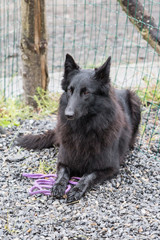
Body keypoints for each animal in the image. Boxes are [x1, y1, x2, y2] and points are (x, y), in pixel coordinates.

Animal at [17, 54, 141, 202]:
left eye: (86, 92)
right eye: (70, 90)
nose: (68, 114)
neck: (82, 129)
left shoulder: (109, 168)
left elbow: (88, 176)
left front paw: (77, 189)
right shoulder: (64, 159)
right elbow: (63, 173)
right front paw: (58, 185)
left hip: (135, 99)